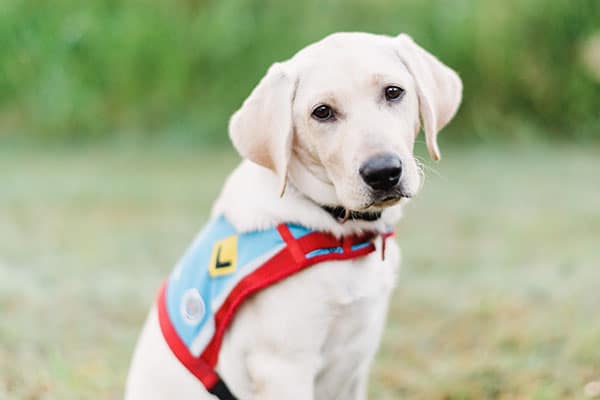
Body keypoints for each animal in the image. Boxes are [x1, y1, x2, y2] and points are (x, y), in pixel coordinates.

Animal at [126, 32, 462, 400]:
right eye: (322, 112)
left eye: (393, 92)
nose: (383, 172)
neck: (340, 232)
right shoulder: (284, 368)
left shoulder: (356, 362)